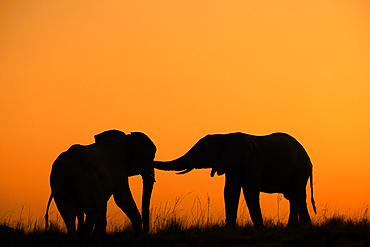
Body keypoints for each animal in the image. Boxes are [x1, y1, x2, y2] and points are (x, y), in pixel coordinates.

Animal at [155, 132, 316, 229]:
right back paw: (306, 227)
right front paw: (228, 229)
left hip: (300, 168)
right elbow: (230, 192)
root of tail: (308, 157)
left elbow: (250, 191)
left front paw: (260, 229)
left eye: (203, 151)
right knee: (297, 196)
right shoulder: (231, 166)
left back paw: (290, 229)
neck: (224, 136)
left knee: (295, 195)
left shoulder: (251, 162)